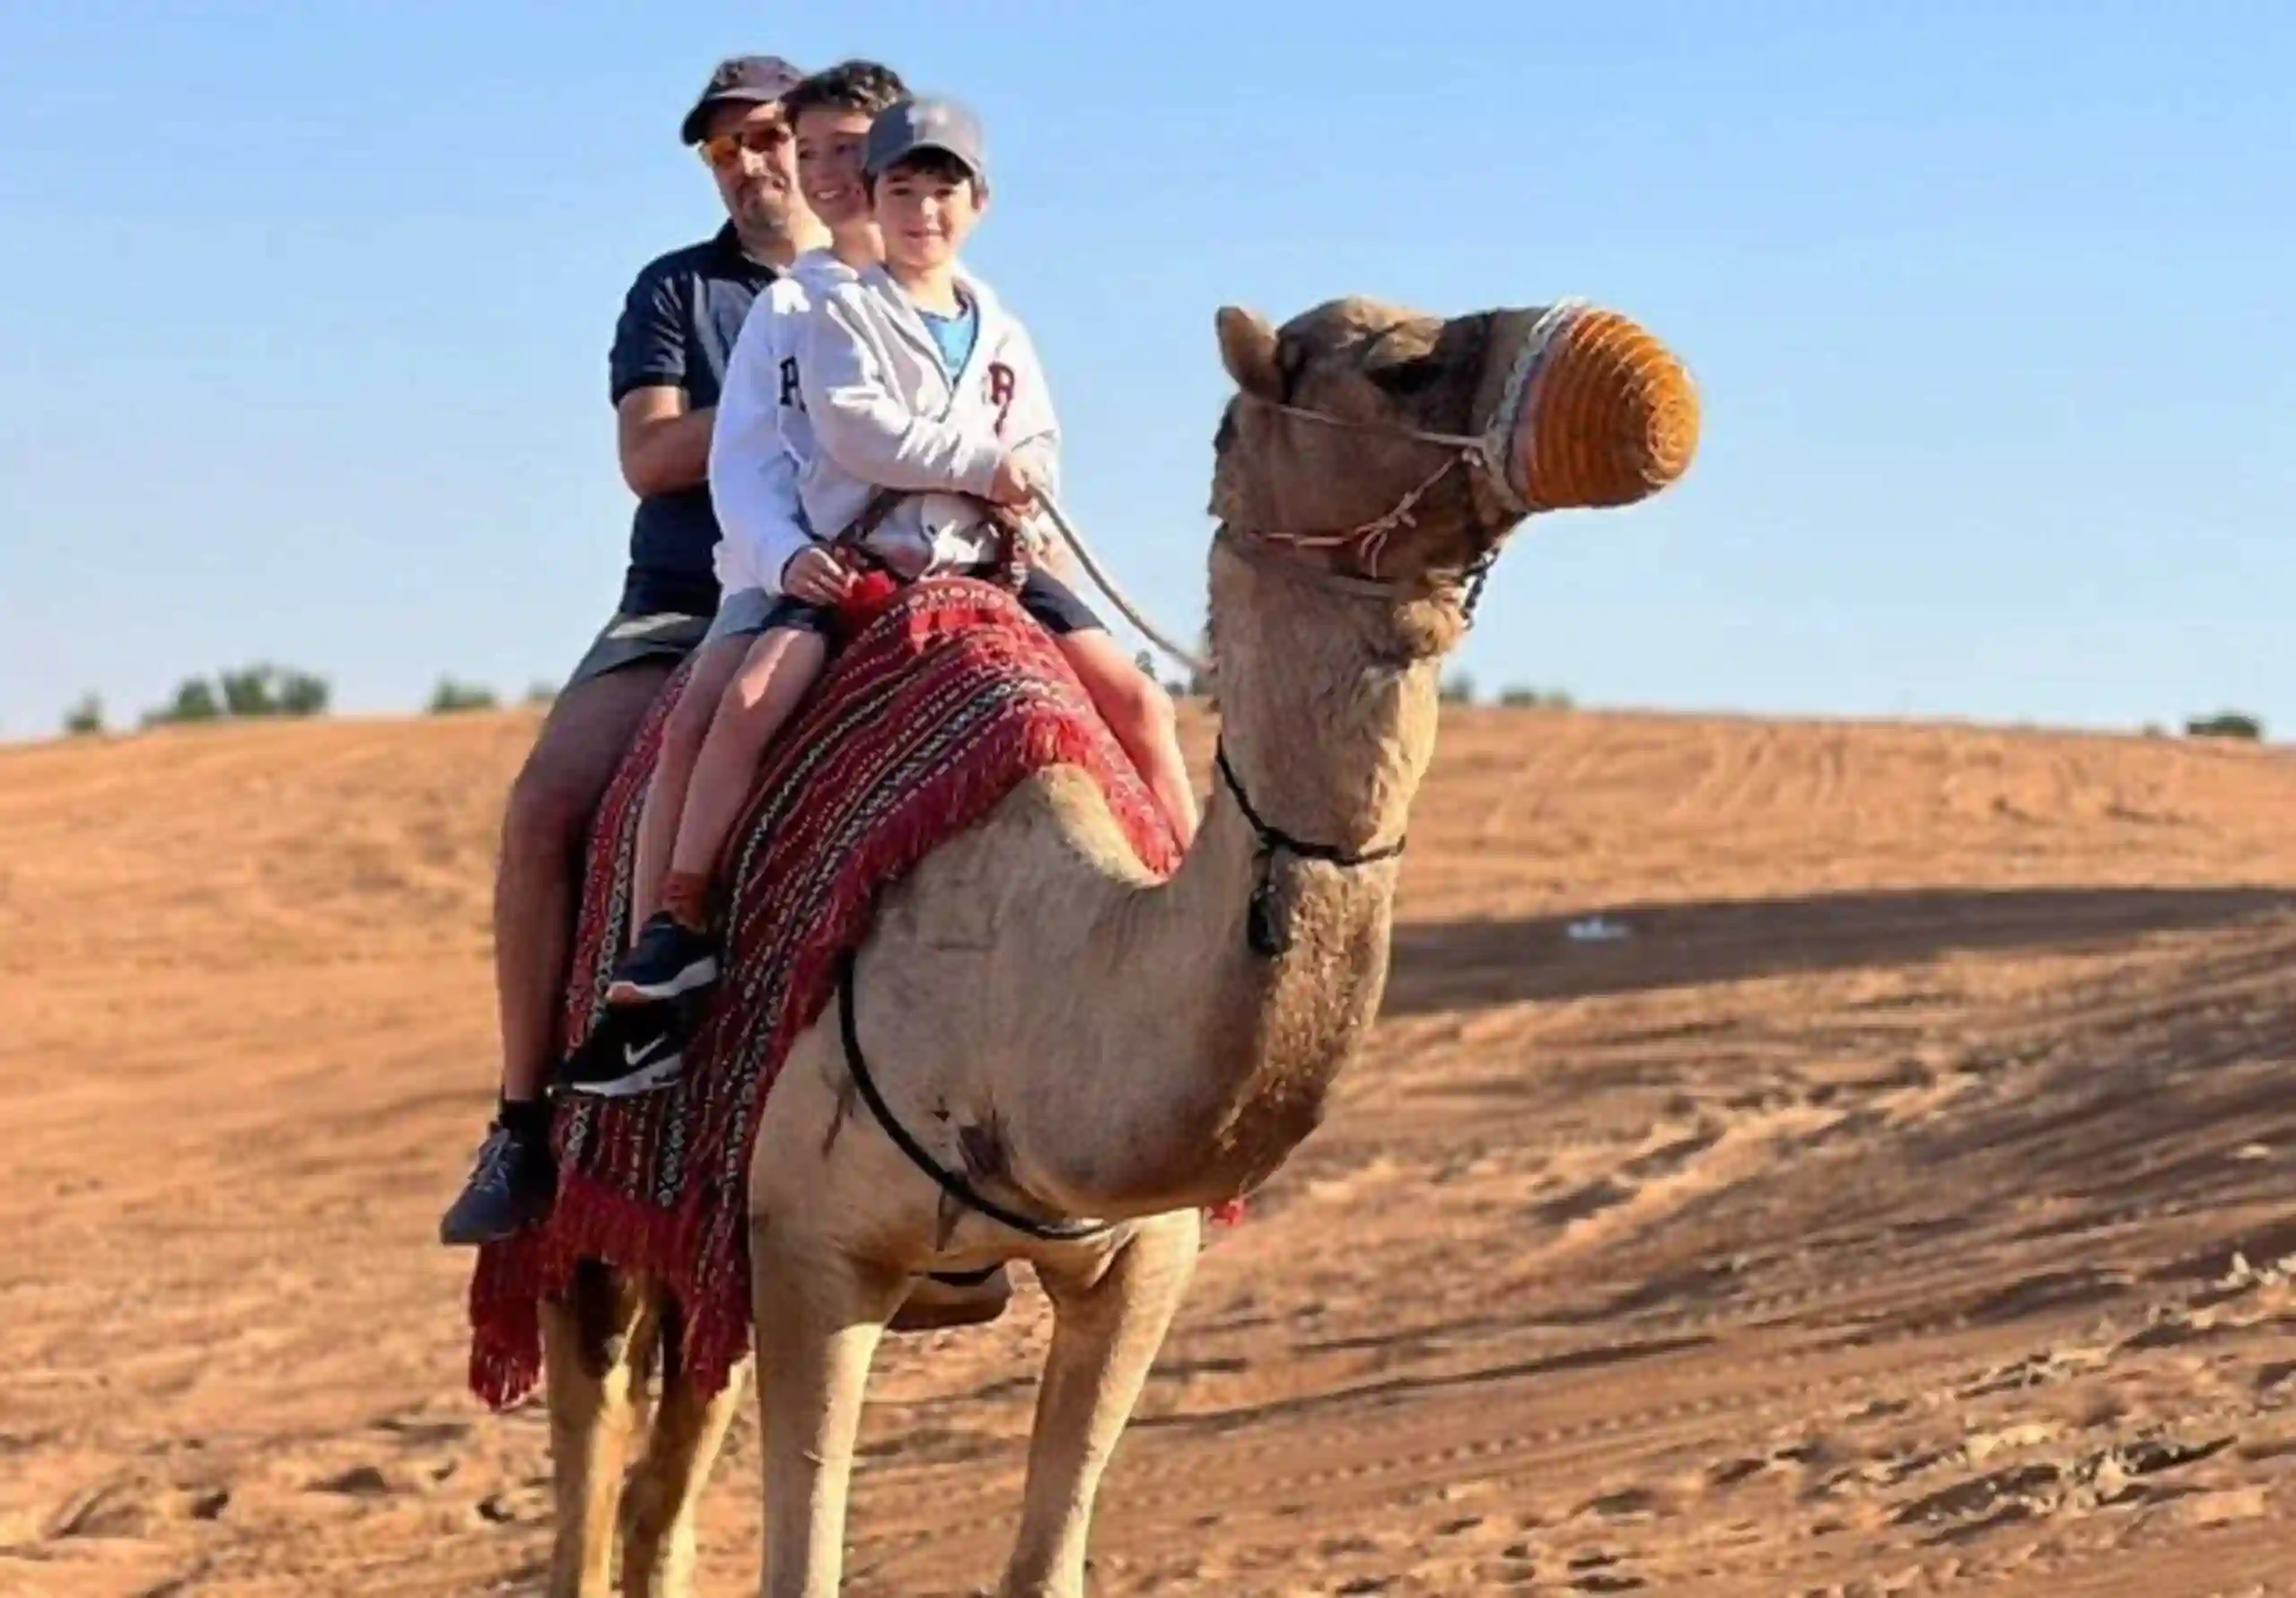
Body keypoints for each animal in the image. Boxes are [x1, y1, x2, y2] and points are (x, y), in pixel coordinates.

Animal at [533, 290, 1699, 1596]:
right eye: (1398, 367)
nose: (1634, 377)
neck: (1015, 1009)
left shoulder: (1139, 1265)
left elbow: (1047, 1560)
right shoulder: (812, 1253)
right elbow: (803, 1564)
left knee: (657, 1491)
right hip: (596, 1203)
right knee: (589, 1458)